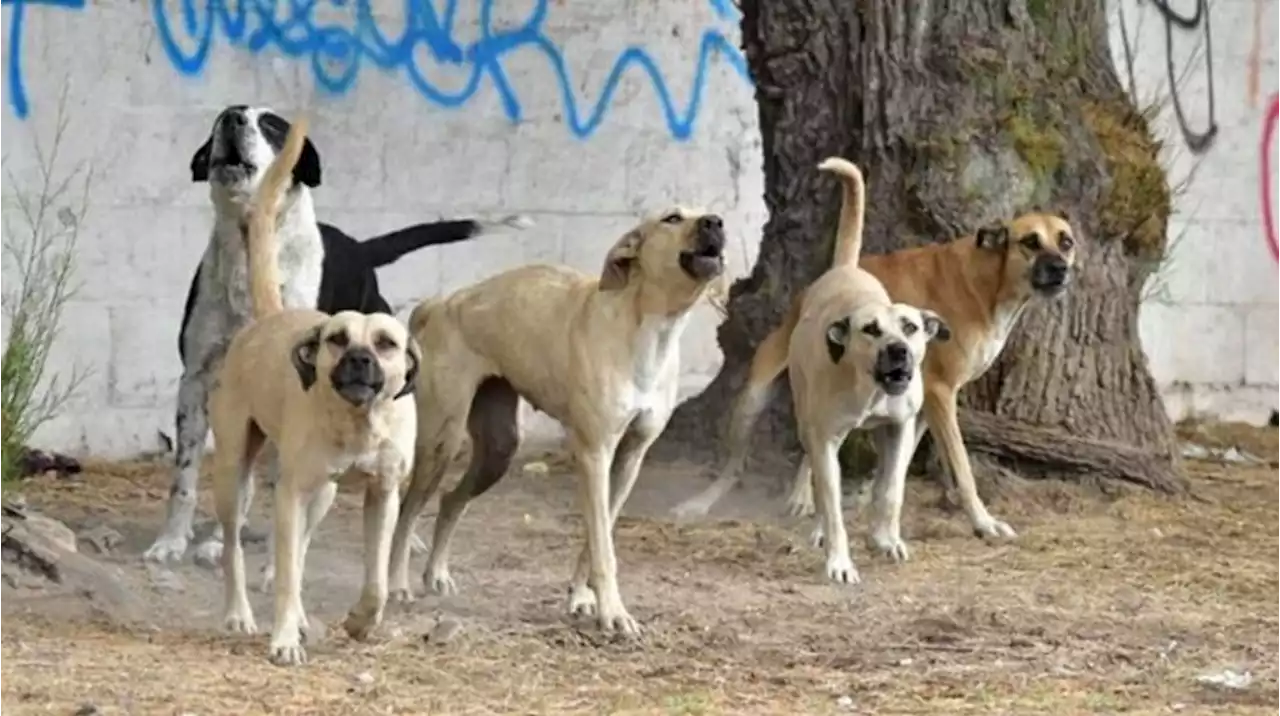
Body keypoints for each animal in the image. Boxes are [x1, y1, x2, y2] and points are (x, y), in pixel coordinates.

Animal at [145, 106, 529, 566]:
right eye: (220, 118)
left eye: (272, 126)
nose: (233, 119)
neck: (250, 252)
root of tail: (361, 249)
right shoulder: (197, 380)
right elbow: (185, 476)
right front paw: (173, 540)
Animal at [208, 116, 419, 666]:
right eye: (337, 338)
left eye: (387, 343)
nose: (359, 359)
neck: (357, 422)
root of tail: (270, 317)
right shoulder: (289, 494)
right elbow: (283, 574)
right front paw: (283, 638)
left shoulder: (383, 495)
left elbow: (376, 581)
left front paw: (363, 621)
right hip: (235, 474)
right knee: (236, 548)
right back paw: (238, 614)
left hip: (323, 496)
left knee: (299, 553)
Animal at [386, 206, 732, 632]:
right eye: (672, 217)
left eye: (709, 213)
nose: (716, 222)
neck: (650, 329)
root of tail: (441, 303)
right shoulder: (594, 454)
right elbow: (603, 547)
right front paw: (613, 612)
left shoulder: (629, 458)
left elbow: (597, 538)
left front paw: (584, 598)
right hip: (441, 441)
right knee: (407, 511)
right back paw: (396, 584)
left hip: (498, 450)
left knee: (451, 499)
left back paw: (436, 573)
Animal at [675, 195, 1075, 543]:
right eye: (1030, 242)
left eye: (1066, 241)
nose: (1060, 269)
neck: (988, 279)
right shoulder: (942, 394)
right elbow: (962, 468)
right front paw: (984, 522)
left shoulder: (921, 406)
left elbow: (900, 463)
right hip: (754, 396)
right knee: (736, 464)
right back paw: (703, 502)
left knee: (812, 445)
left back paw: (804, 496)